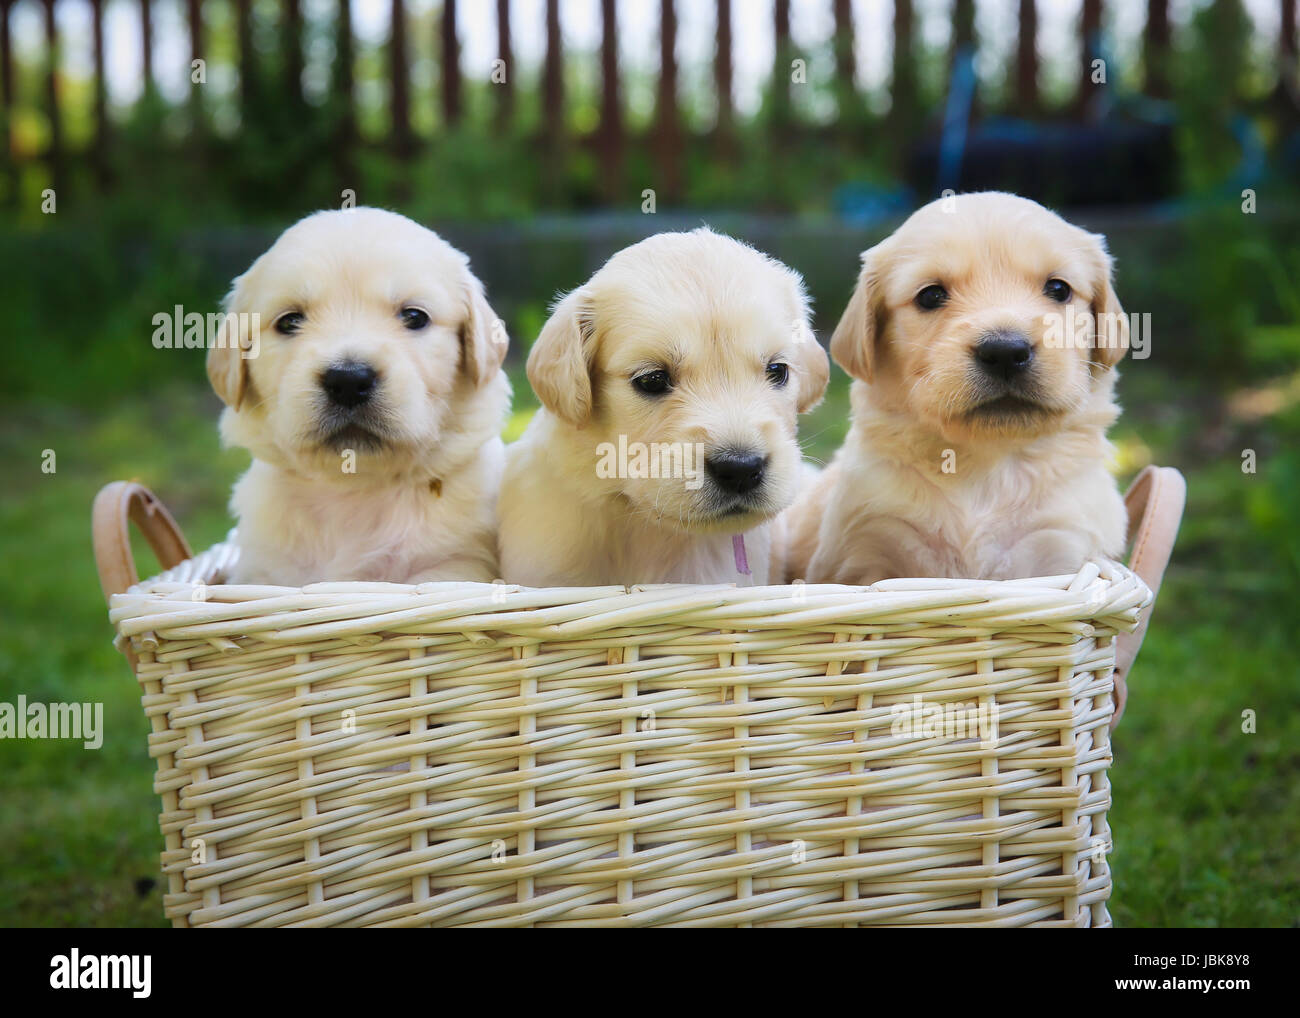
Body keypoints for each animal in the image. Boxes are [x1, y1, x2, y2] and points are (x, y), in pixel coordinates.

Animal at [206, 208, 506, 585]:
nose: (348, 380)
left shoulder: (454, 564)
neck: (353, 490)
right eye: (289, 322)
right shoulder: (263, 570)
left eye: (414, 316)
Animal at [785, 192, 1133, 585]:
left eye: (1059, 289)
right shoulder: (868, 549)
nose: (1005, 352)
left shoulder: (1063, 547)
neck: (986, 466)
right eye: (930, 296)